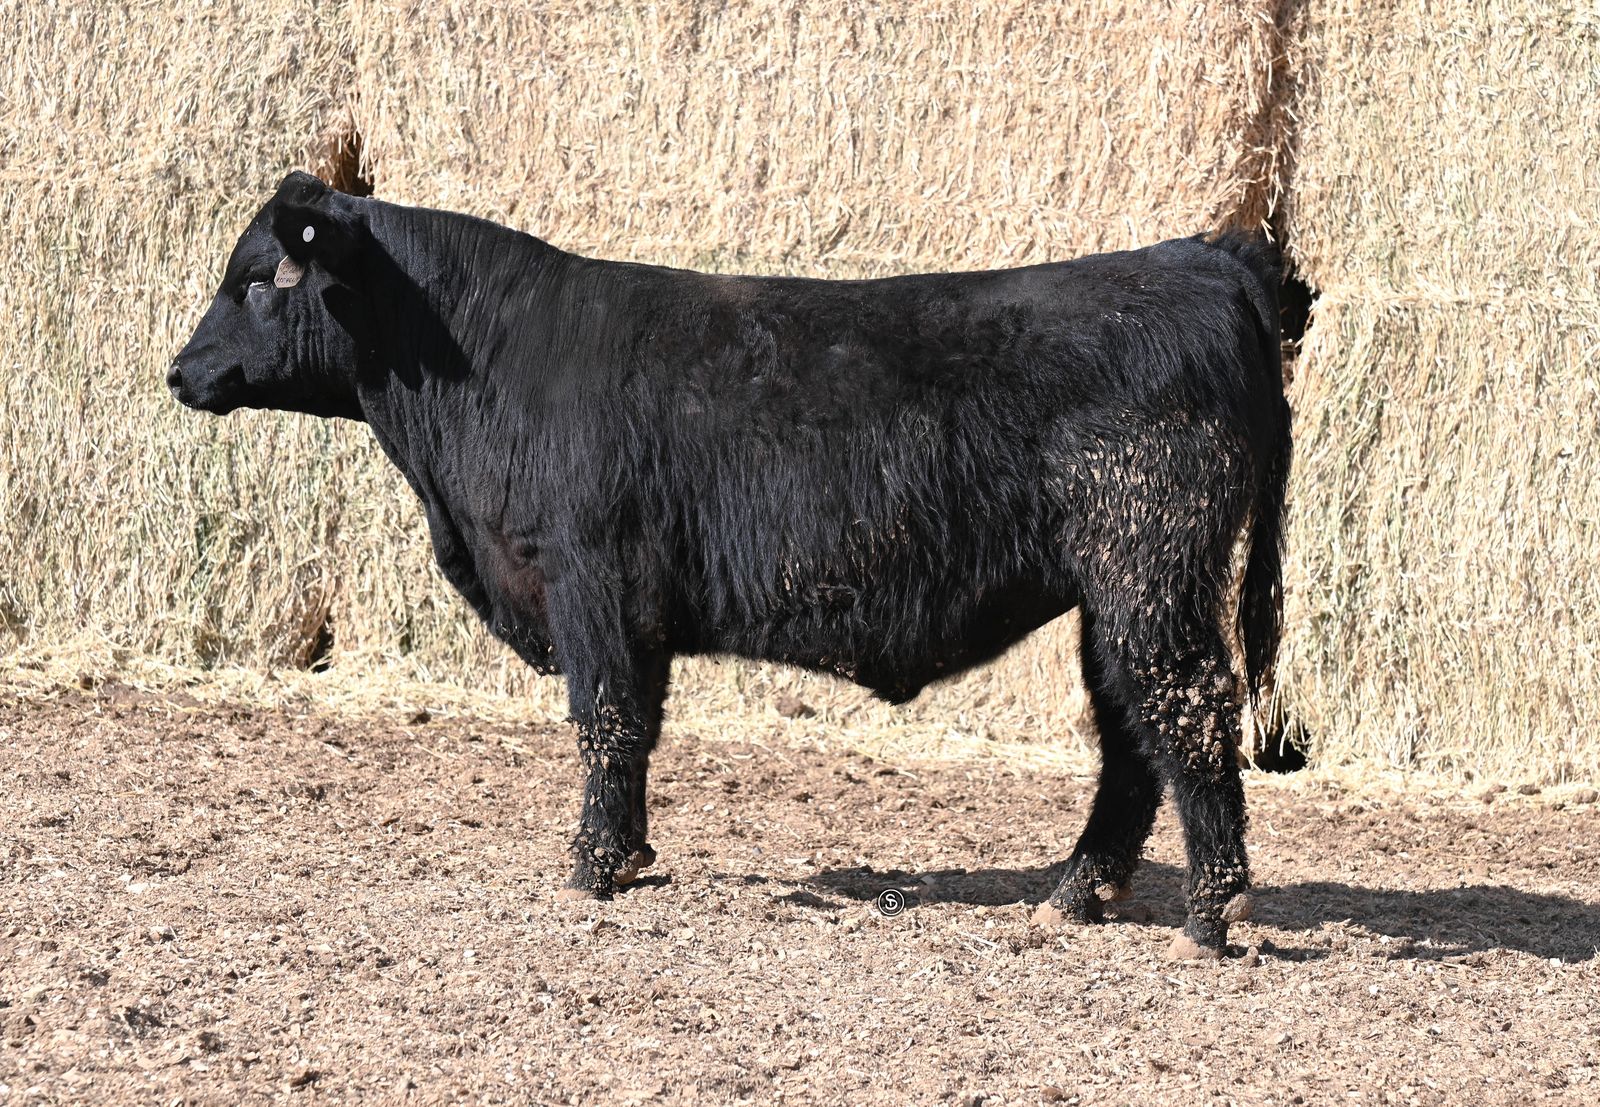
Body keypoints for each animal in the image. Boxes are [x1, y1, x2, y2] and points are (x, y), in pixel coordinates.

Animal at [169, 171, 1291, 959]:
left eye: (257, 278)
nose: (179, 371)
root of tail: (1199, 260)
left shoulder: (588, 581)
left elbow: (607, 720)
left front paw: (593, 867)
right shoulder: (630, 607)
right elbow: (635, 726)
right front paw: (627, 855)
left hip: (1151, 571)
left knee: (1186, 710)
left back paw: (1210, 912)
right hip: (1113, 594)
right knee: (1131, 732)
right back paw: (1072, 895)